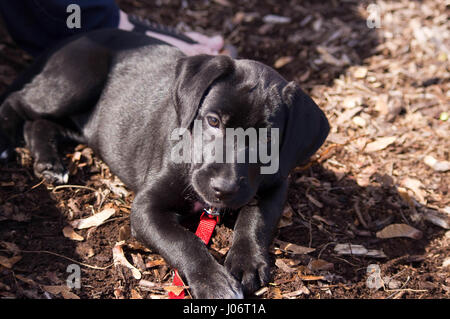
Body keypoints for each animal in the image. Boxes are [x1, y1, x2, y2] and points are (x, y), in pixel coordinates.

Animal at [0, 28, 330, 298]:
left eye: (267, 138)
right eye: (212, 121)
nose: (222, 189)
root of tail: (77, 37)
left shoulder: (276, 183)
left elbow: (257, 218)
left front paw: (247, 260)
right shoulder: (145, 209)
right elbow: (184, 242)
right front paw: (214, 283)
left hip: (84, 124)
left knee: (40, 124)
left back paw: (48, 163)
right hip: (76, 80)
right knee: (18, 102)